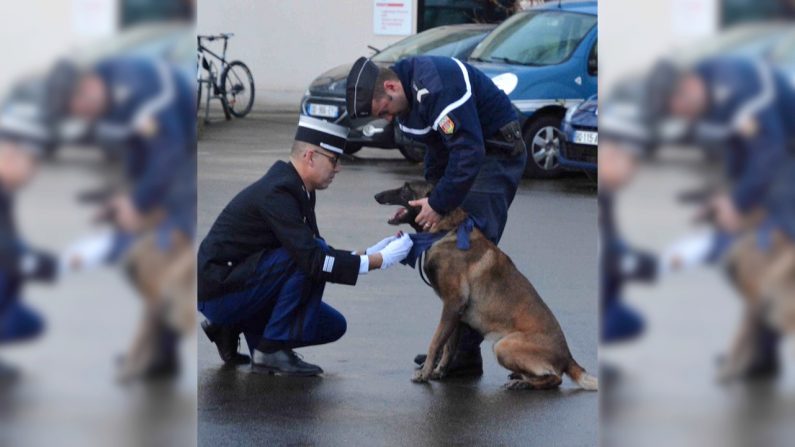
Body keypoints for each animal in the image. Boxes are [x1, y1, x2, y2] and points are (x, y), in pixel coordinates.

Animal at [378, 182, 596, 392]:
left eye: (406, 189)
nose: (376, 196)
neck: (446, 230)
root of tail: (567, 357)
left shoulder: (451, 305)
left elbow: (435, 342)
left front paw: (424, 374)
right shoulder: (456, 314)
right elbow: (448, 346)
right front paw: (439, 371)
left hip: (503, 345)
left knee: (556, 379)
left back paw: (524, 384)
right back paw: (520, 378)